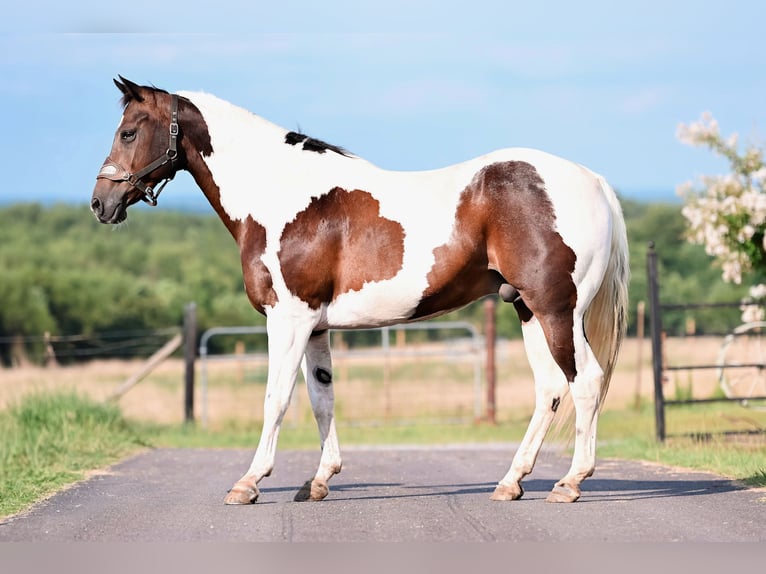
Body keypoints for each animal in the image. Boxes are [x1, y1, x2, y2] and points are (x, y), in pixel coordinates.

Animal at [91, 76, 632, 504]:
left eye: (129, 131)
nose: (101, 202)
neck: (281, 196)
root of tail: (594, 181)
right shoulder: (314, 327)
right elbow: (320, 398)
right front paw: (319, 481)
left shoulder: (288, 319)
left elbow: (275, 398)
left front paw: (249, 482)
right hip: (526, 309)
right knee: (550, 389)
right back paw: (510, 482)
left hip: (557, 310)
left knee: (585, 381)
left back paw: (570, 483)